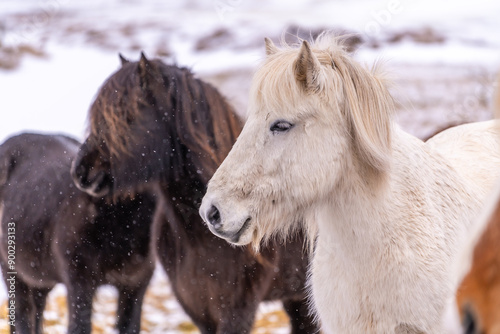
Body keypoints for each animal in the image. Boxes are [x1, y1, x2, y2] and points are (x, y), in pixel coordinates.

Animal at [0, 134, 156, 334]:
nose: (82, 174)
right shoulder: (79, 281)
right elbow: (80, 326)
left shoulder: (136, 284)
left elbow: (130, 326)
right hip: (11, 269)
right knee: (22, 313)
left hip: (40, 276)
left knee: (36, 310)